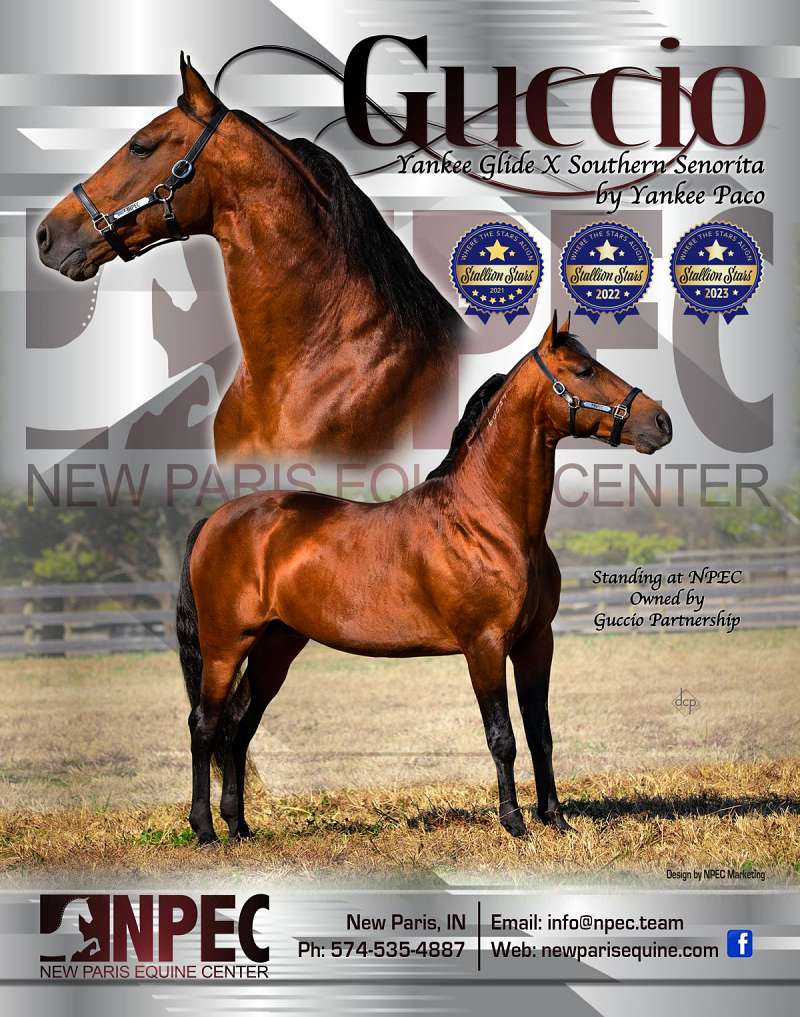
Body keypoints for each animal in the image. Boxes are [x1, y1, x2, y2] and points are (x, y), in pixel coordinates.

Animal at [174, 312, 672, 846]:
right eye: (583, 371)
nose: (661, 422)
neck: (490, 521)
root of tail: (216, 520)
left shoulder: (537, 642)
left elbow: (541, 733)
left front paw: (556, 819)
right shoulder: (484, 646)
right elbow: (502, 737)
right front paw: (515, 823)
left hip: (275, 646)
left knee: (238, 725)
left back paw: (239, 826)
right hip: (226, 645)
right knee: (205, 724)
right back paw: (205, 829)